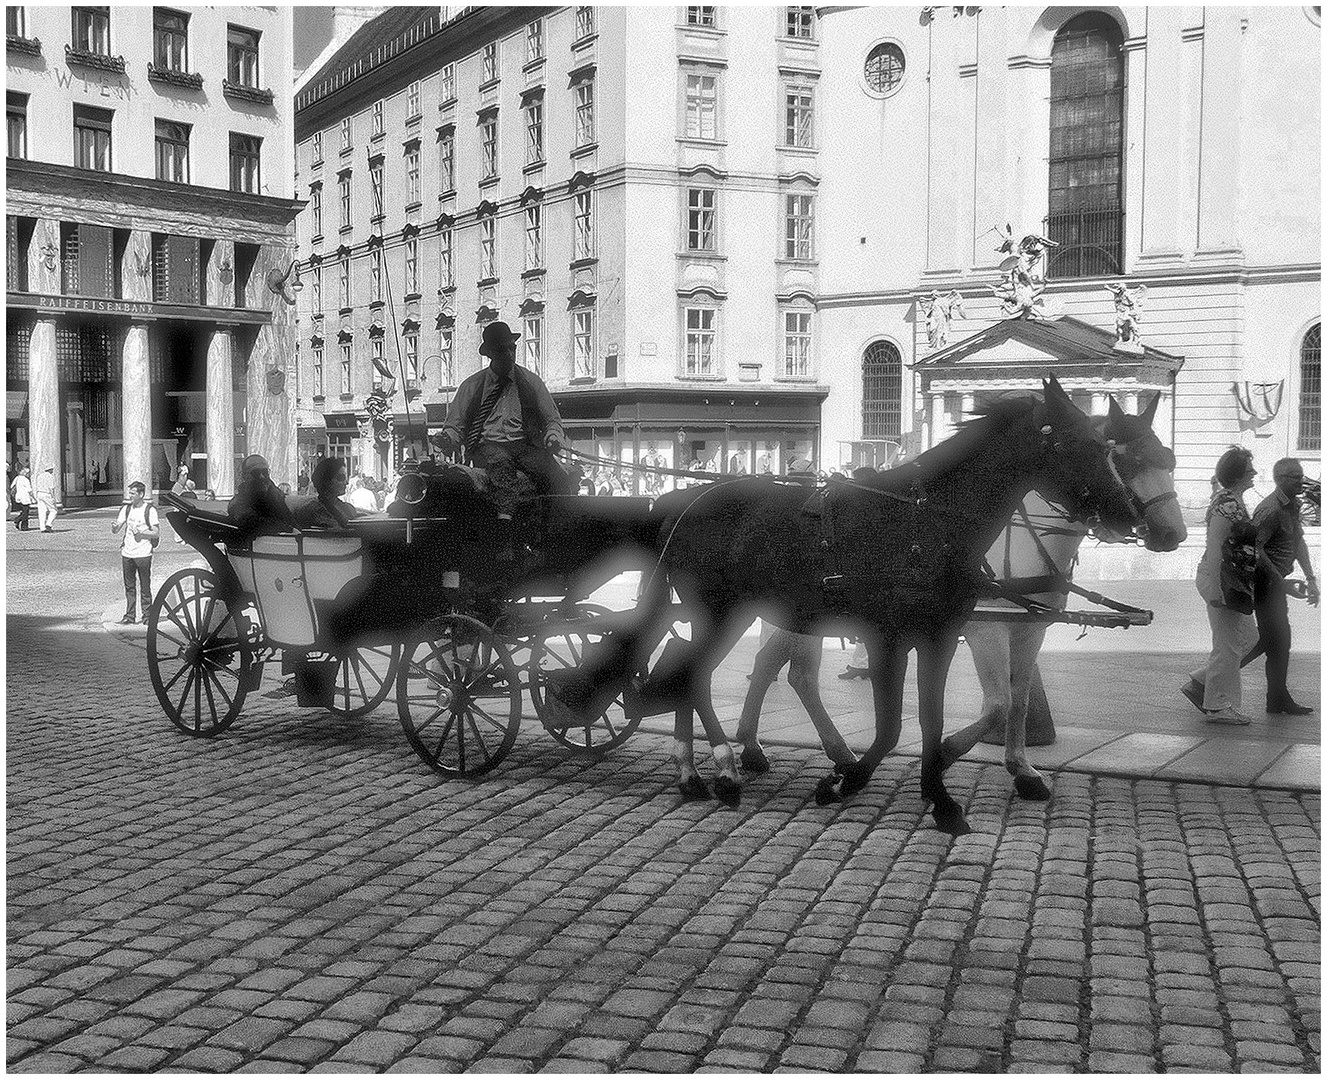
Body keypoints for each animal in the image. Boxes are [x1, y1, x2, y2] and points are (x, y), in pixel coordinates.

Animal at [544, 379, 1135, 838]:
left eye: (1109, 445)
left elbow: (930, 719)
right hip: (720, 613)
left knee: (687, 673)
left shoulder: (939, 636)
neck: (925, 520)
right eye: (1084, 444)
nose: (1128, 515)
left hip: (723, 614)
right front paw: (844, 781)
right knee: (693, 676)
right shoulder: (888, 638)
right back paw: (725, 771)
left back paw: (696, 773)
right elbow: (891, 727)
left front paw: (939, 798)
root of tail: (681, 505)